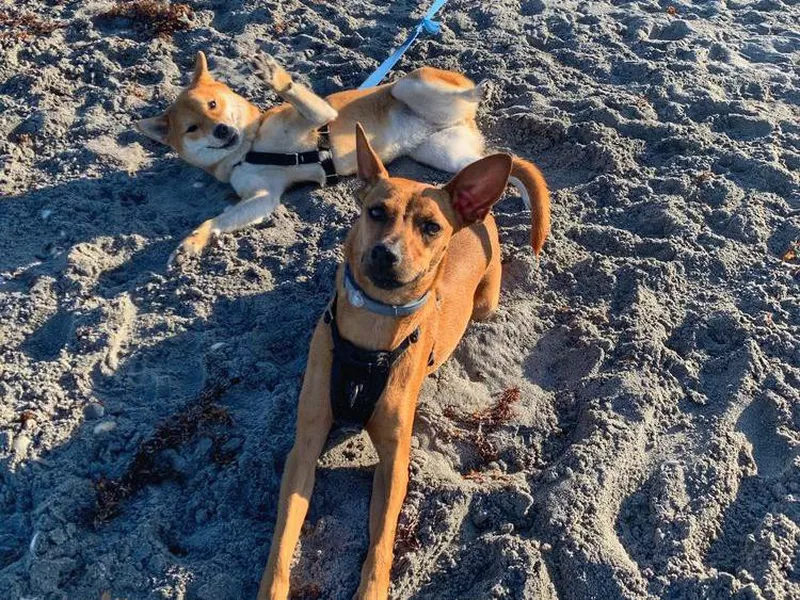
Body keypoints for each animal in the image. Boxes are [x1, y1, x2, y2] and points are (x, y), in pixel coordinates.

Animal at [138, 52, 552, 264]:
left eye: (214, 104)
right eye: (192, 128)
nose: (223, 130)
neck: (249, 147)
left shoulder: (321, 115)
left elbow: (297, 94)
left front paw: (274, 76)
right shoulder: (262, 198)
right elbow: (217, 220)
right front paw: (193, 241)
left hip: (409, 85)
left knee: (463, 96)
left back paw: (483, 88)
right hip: (446, 155)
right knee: (506, 163)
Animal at [256, 124, 552, 596]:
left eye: (431, 227)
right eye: (377, 211)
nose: (386, 253)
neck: (372, 332)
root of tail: (474, 212)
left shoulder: (394, 462)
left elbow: (382, 539)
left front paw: (372, 589)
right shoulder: (304, 447)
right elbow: (284, 537)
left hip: (486, 303)